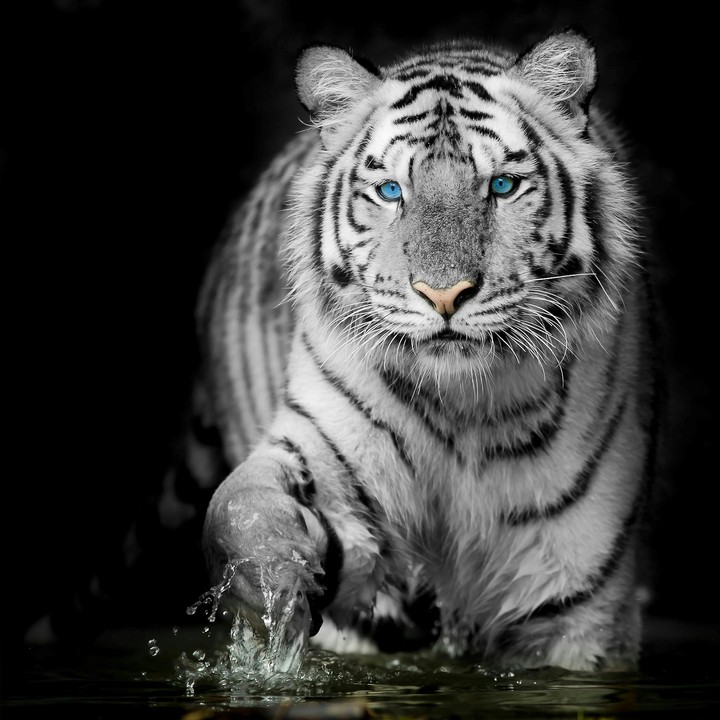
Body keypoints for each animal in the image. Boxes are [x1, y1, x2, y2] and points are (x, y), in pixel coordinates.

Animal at [192, 28, 660, 673]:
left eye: (502, 186)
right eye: (392, 191)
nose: (443, 294)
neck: (463, 408)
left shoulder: (579, 605)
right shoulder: (323, 451)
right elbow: (239, 505)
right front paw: (273, 581)